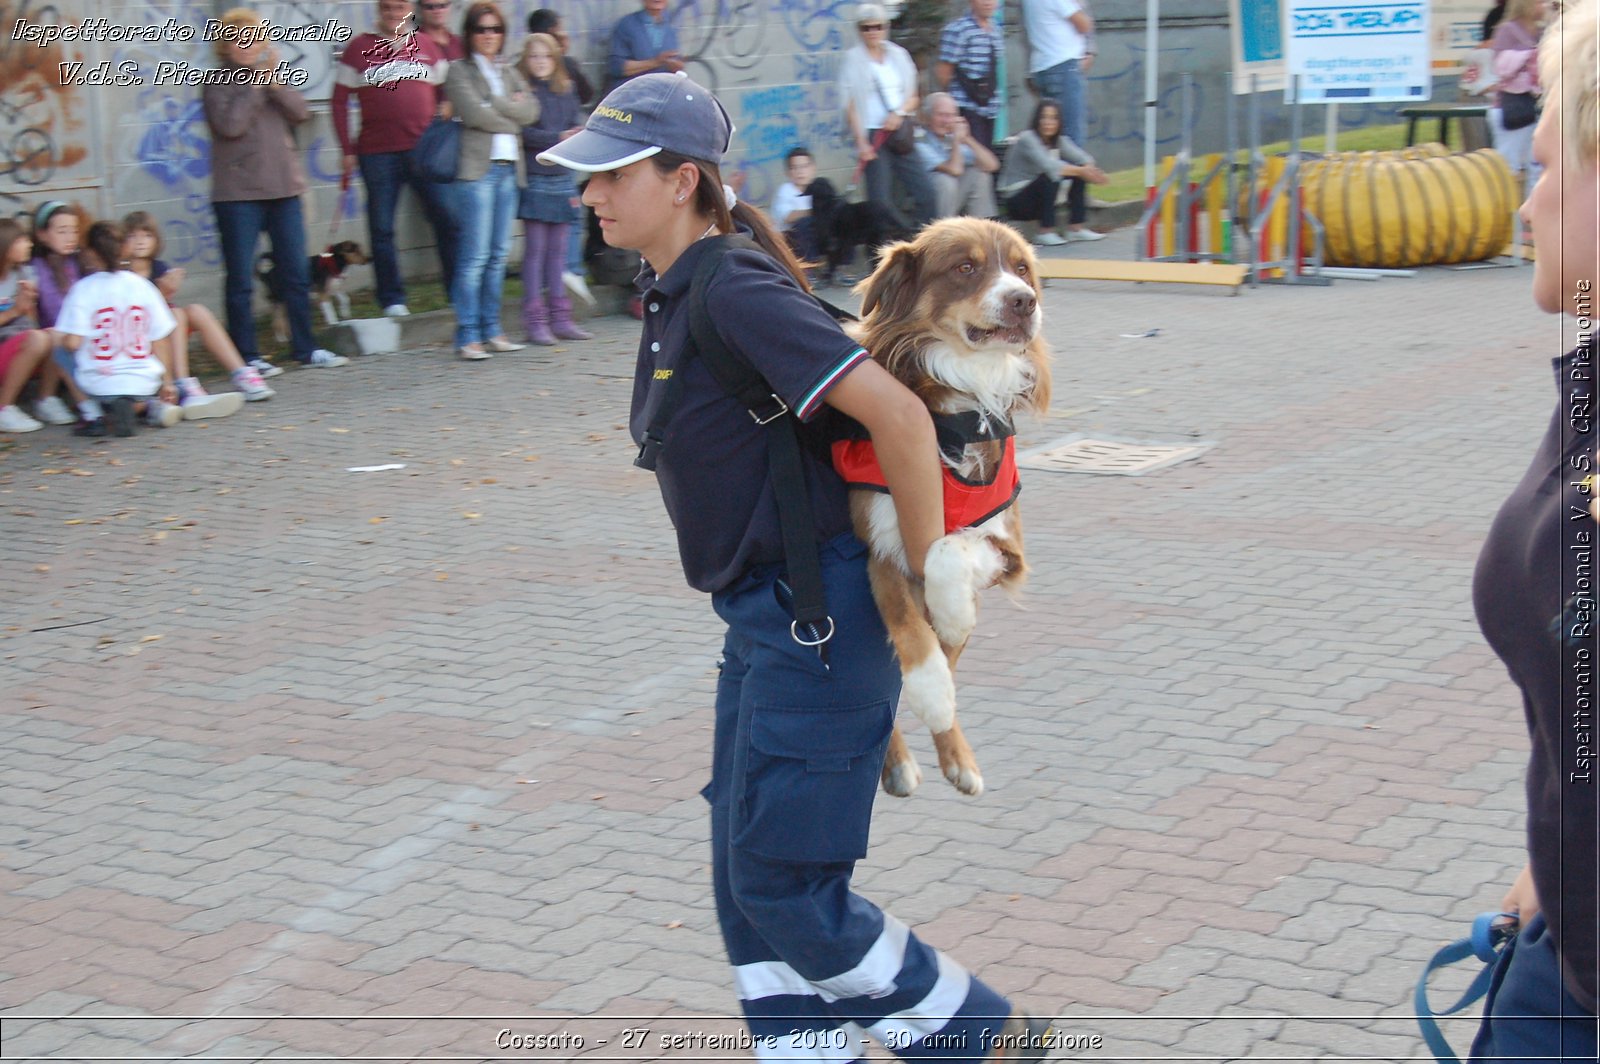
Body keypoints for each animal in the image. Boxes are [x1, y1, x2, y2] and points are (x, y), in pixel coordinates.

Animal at [838, 216, 1049, 796]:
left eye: (1022, 269)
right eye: (965, 267)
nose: (1024, 301)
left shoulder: (1008, 550)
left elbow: (951, 551)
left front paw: (953, 617)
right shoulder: (880, 547)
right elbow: (914, 638)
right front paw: (932, 694)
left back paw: (959, 762)